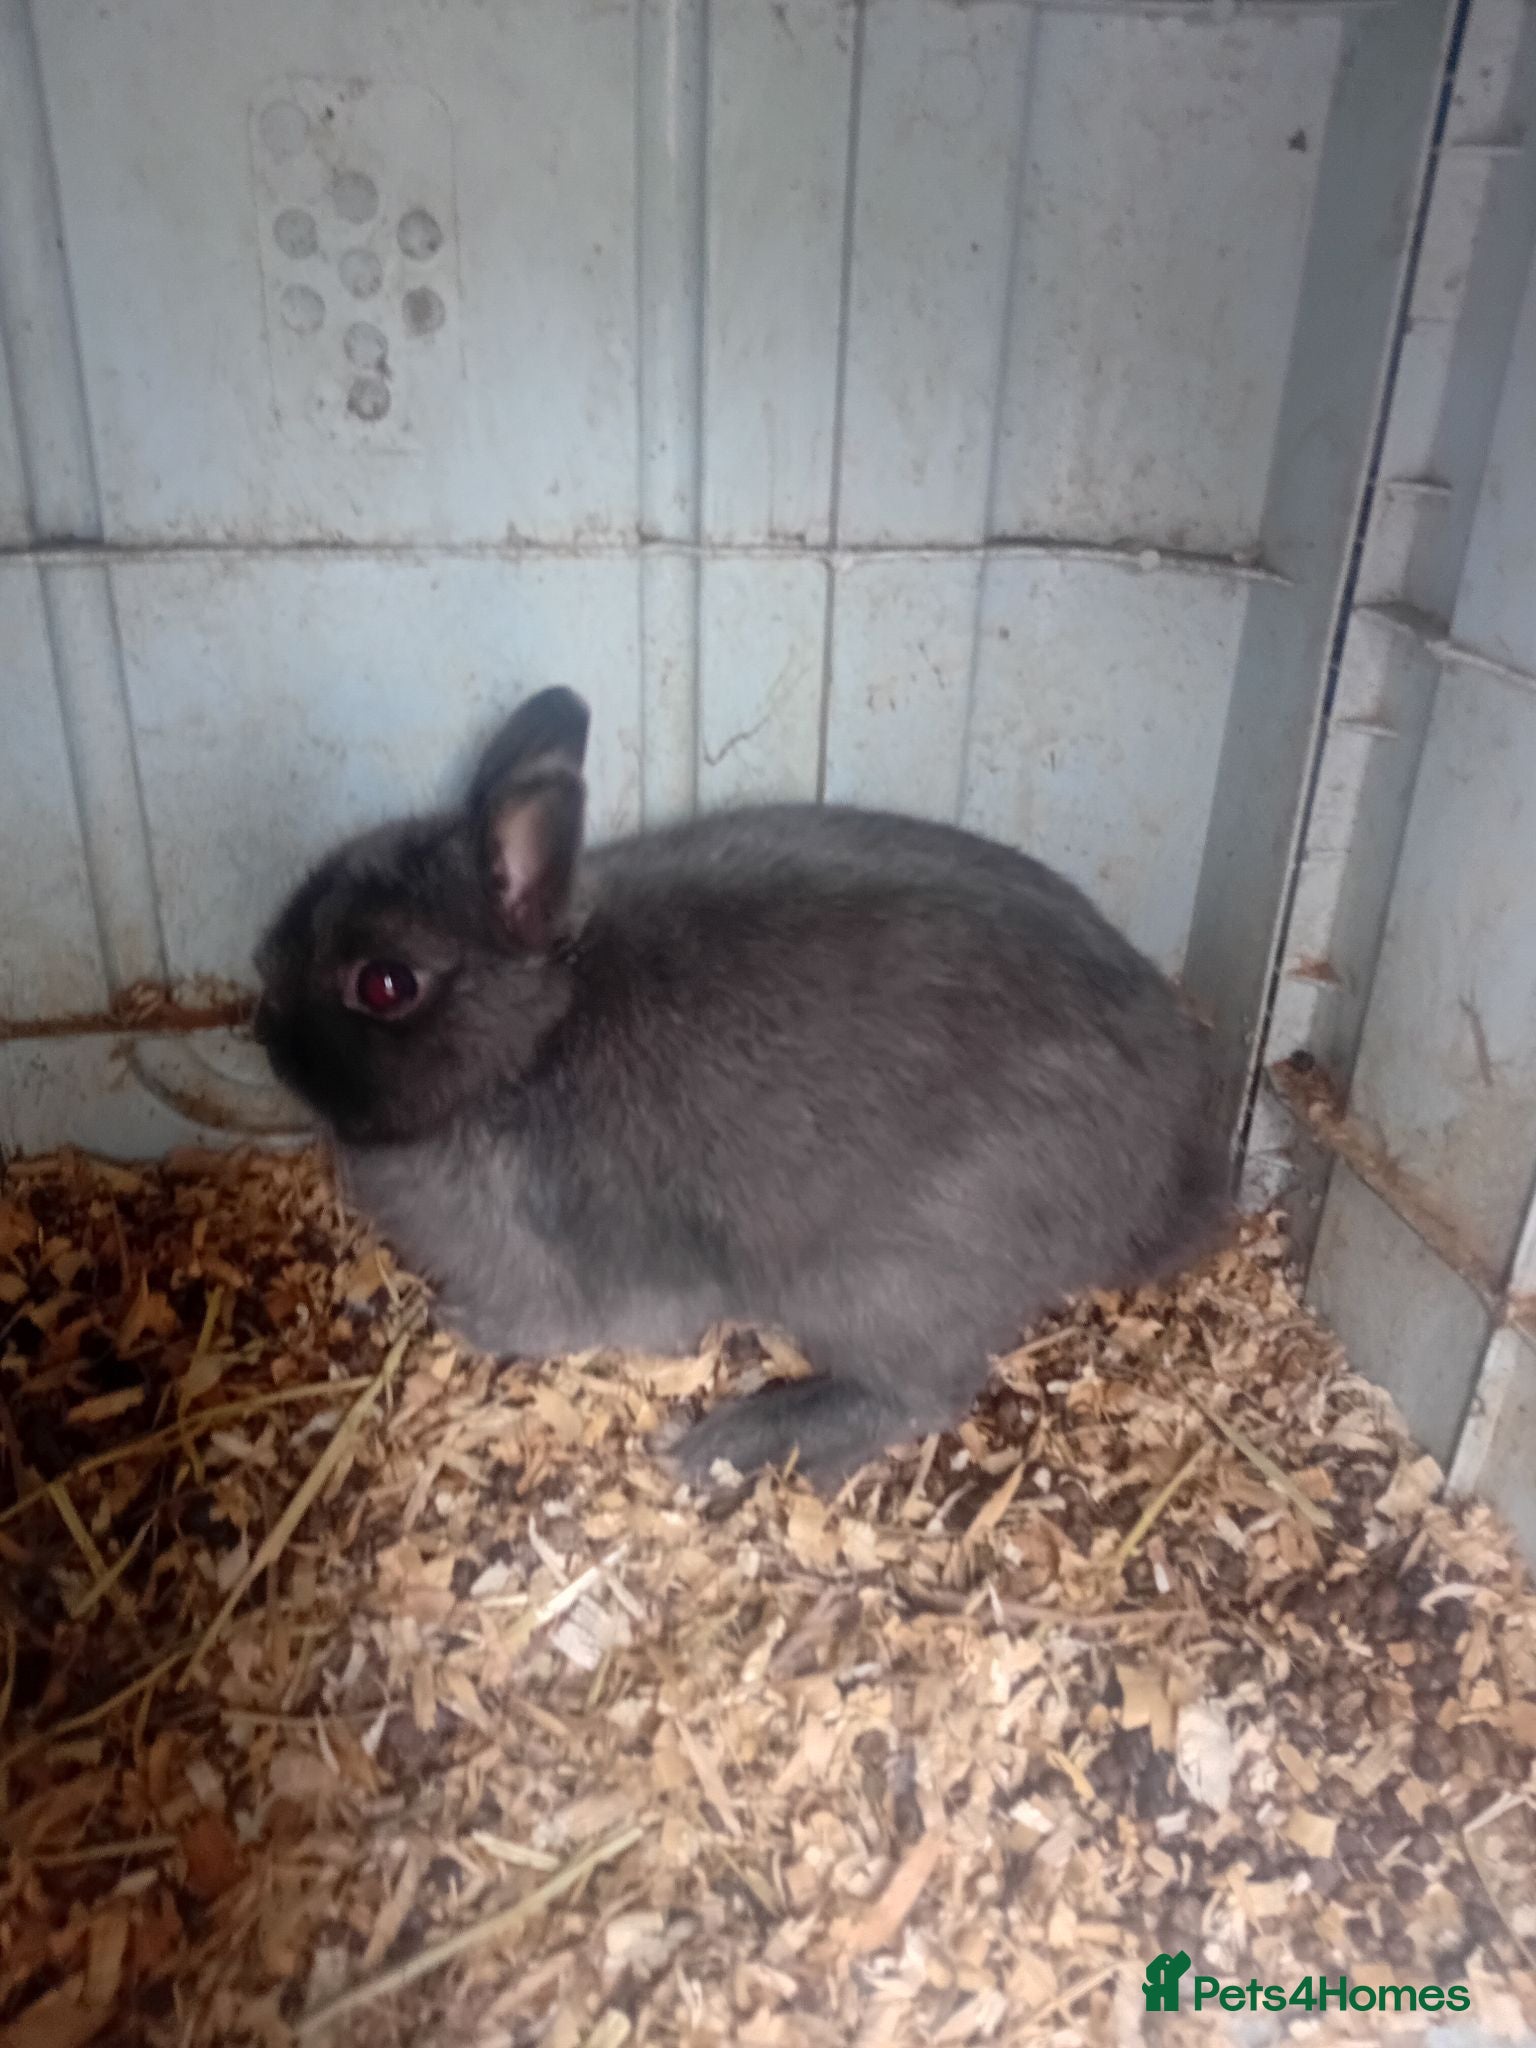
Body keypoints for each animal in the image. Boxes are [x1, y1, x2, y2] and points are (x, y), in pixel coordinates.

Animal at [253, 685, 1230, 1491]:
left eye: (385, 984)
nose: (262, 1024)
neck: (533, 1040)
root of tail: (1169, 1179)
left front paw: (467, 1324)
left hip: (882, 1280)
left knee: (926, 1391)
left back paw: (740, 1440)